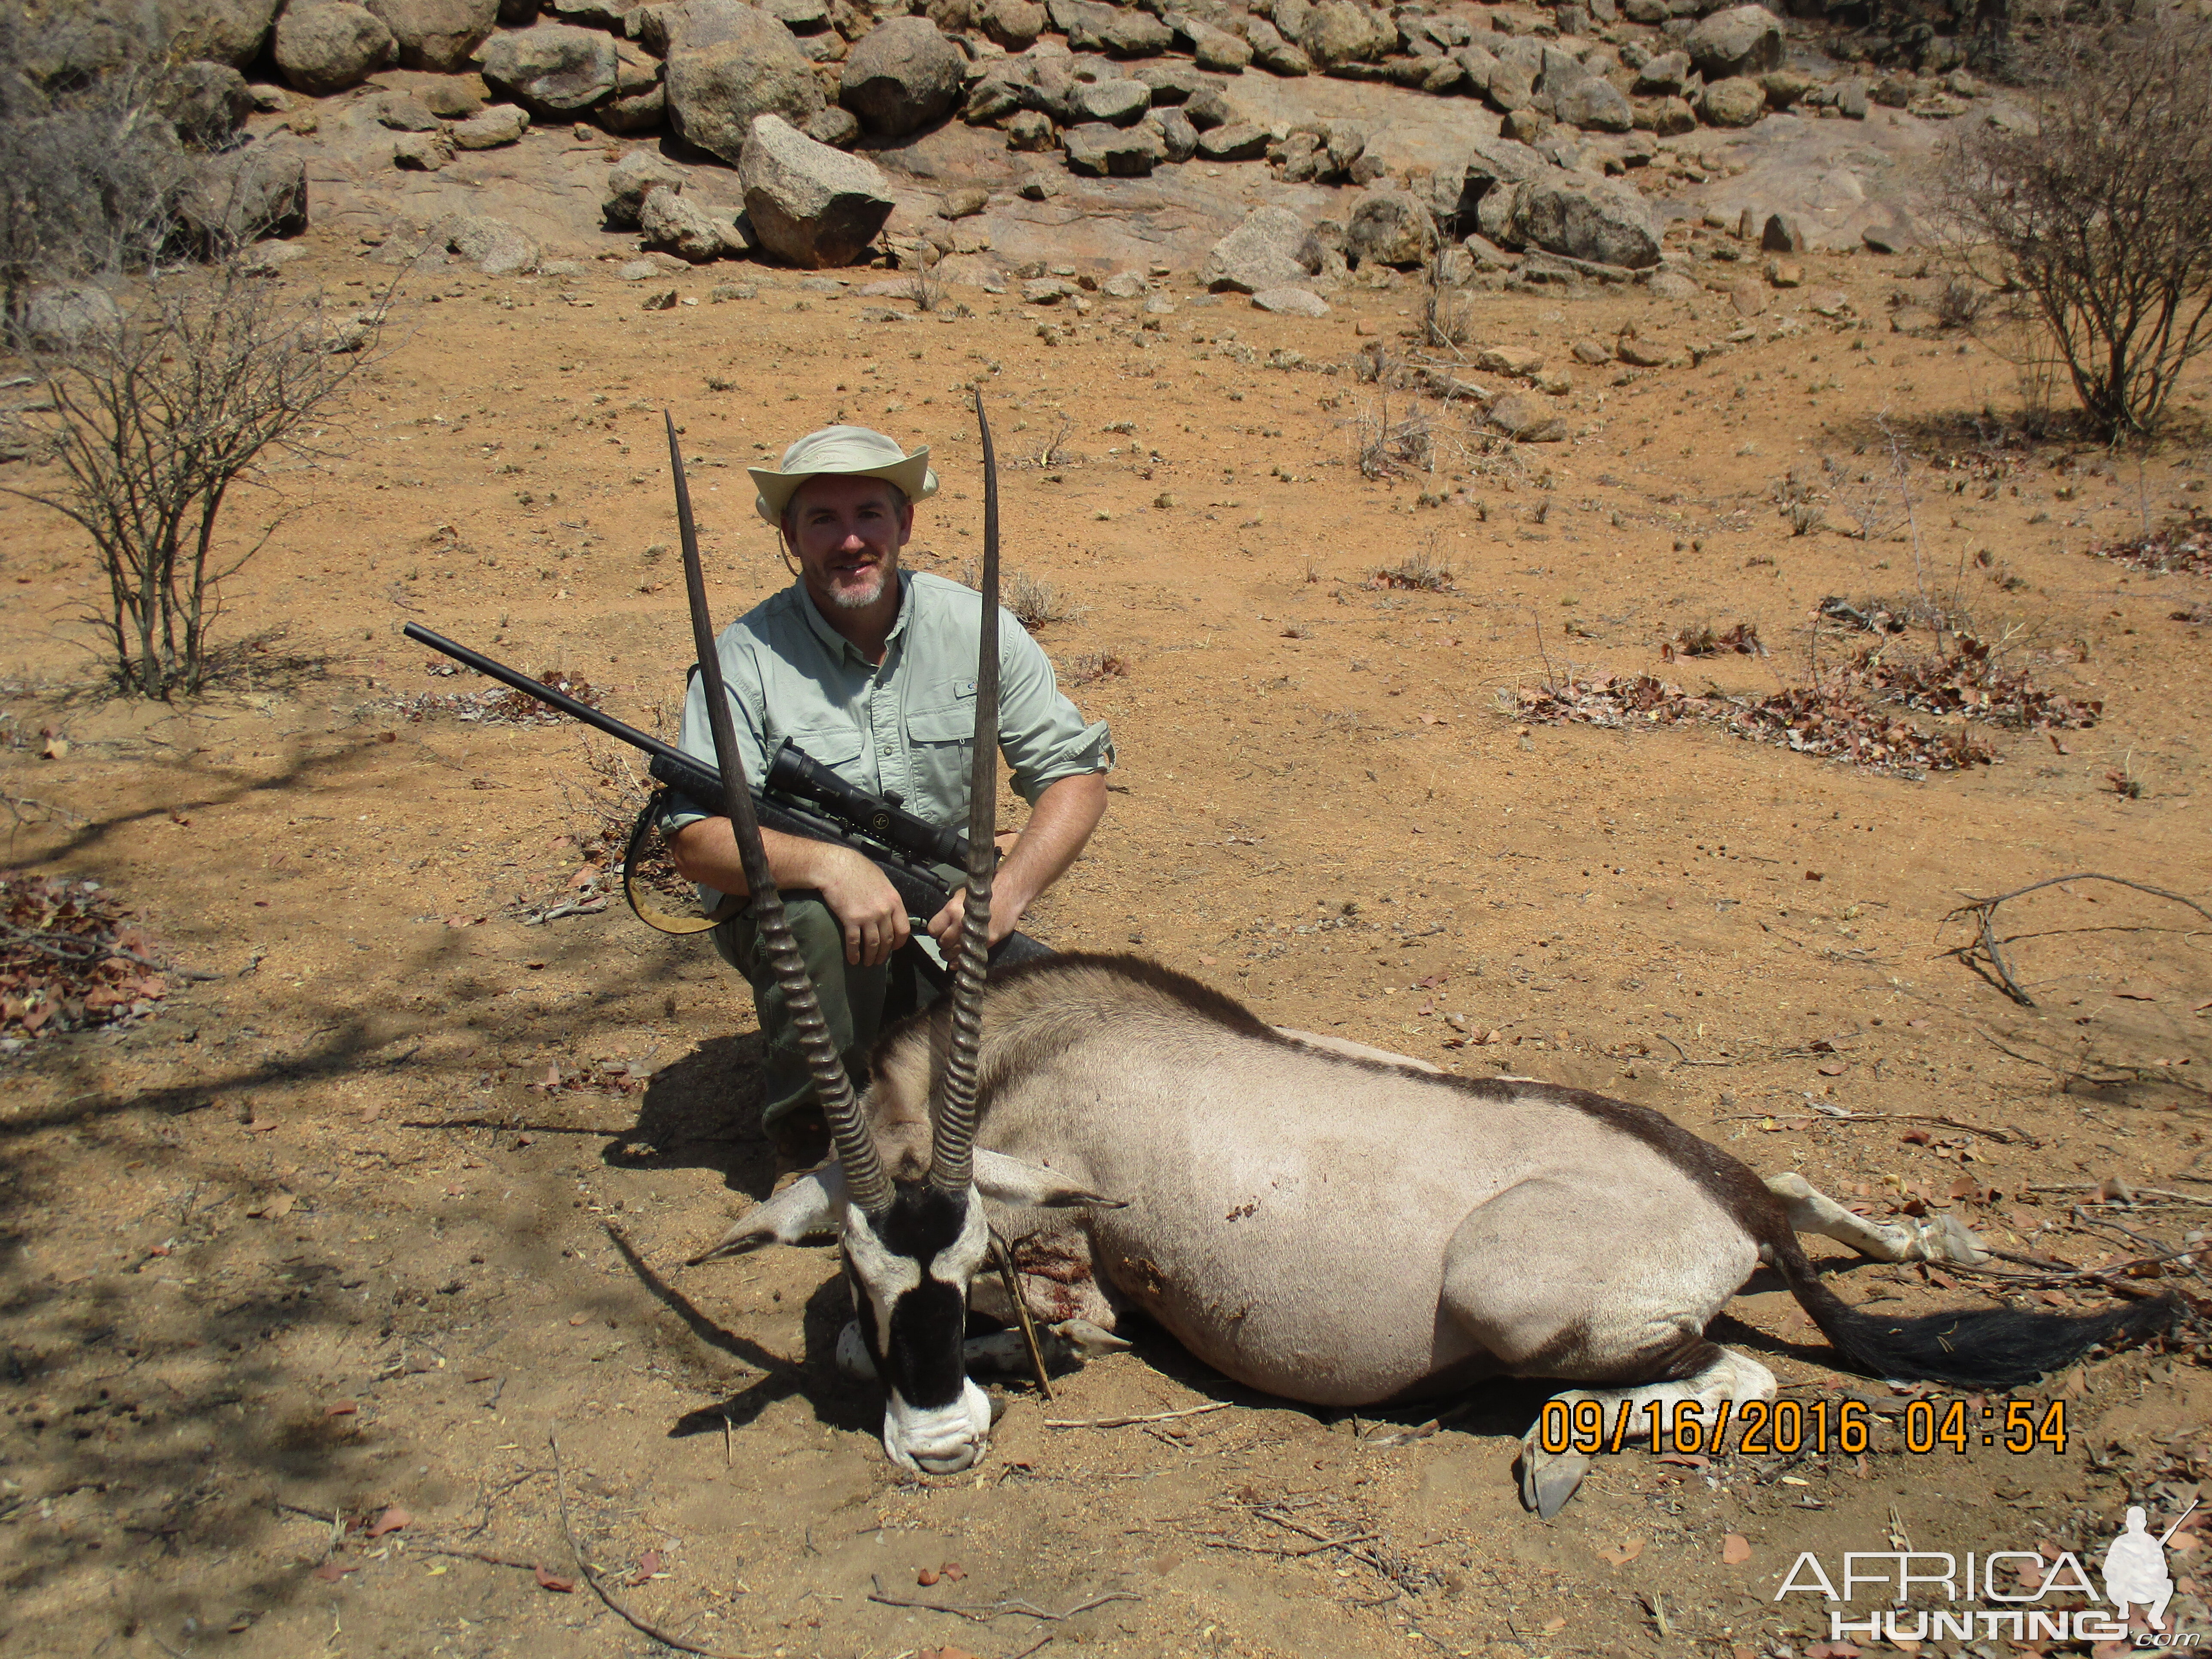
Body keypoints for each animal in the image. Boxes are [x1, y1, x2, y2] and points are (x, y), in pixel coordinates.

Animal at [668, 407, 2176, 1522]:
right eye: (866, 1263)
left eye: (966, 1255)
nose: (941, 1449)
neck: (1033, 1053)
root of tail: (1722, 1205)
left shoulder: (1073, 1266)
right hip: (1736, 1194)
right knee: (1800, 1198)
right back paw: (1931, 1236)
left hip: (1510, 1295)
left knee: (1740, 1374)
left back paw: (1554, 1449)